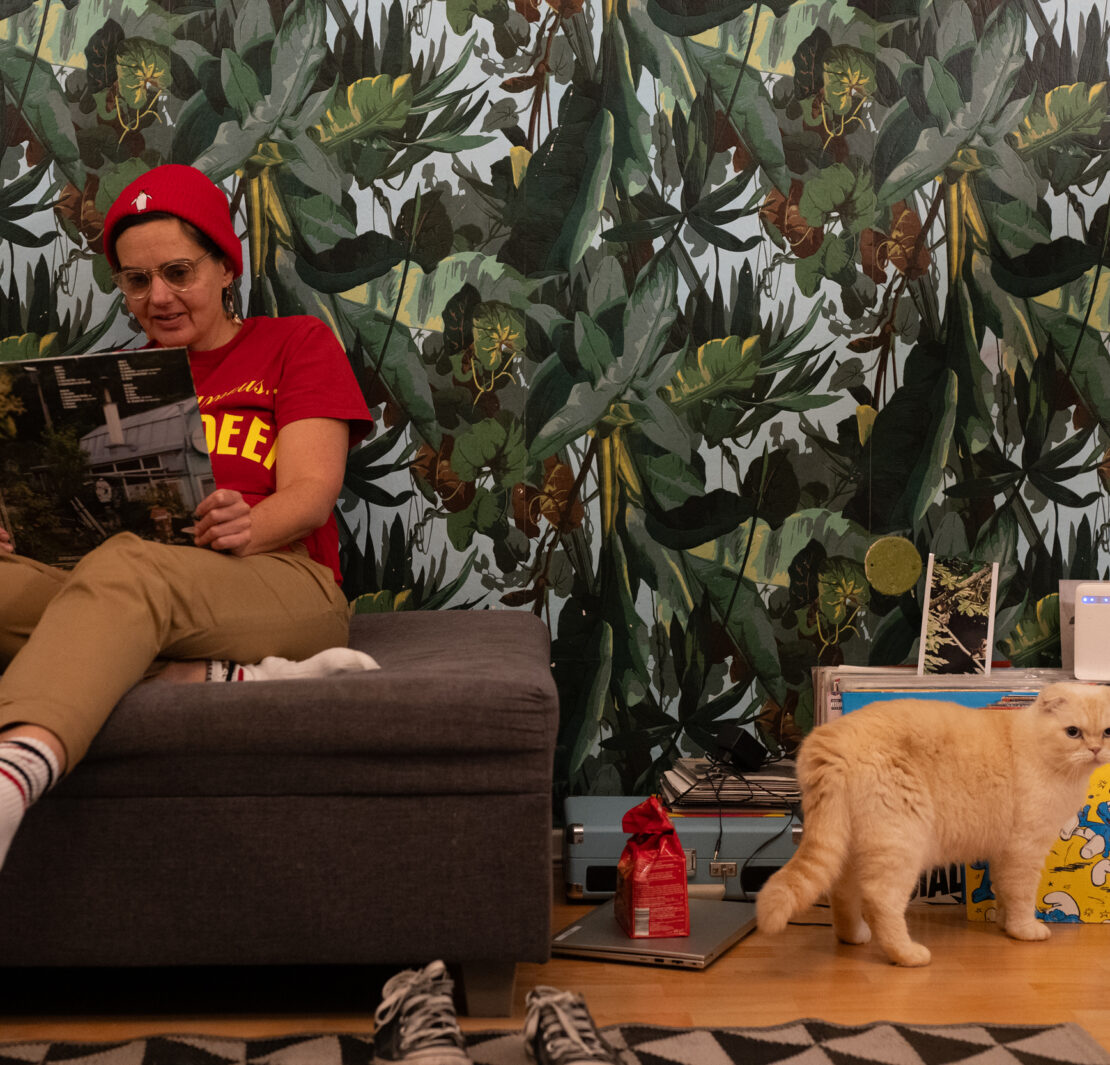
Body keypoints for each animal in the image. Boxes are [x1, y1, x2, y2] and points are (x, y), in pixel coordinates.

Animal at [756, 682, 1110, 966]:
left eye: (1107, 732)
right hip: (900, 846)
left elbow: (1004, 893)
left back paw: (854, 937)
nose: (1096, 749)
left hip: (855, 847)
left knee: (842, 894)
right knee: (880, 901)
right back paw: (908, 955)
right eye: (1073, 732)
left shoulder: (1004, 854)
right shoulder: (1024, 851)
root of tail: (830, 742)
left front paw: (1003, 925)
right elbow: (1021, 897)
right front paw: (1024, 930)